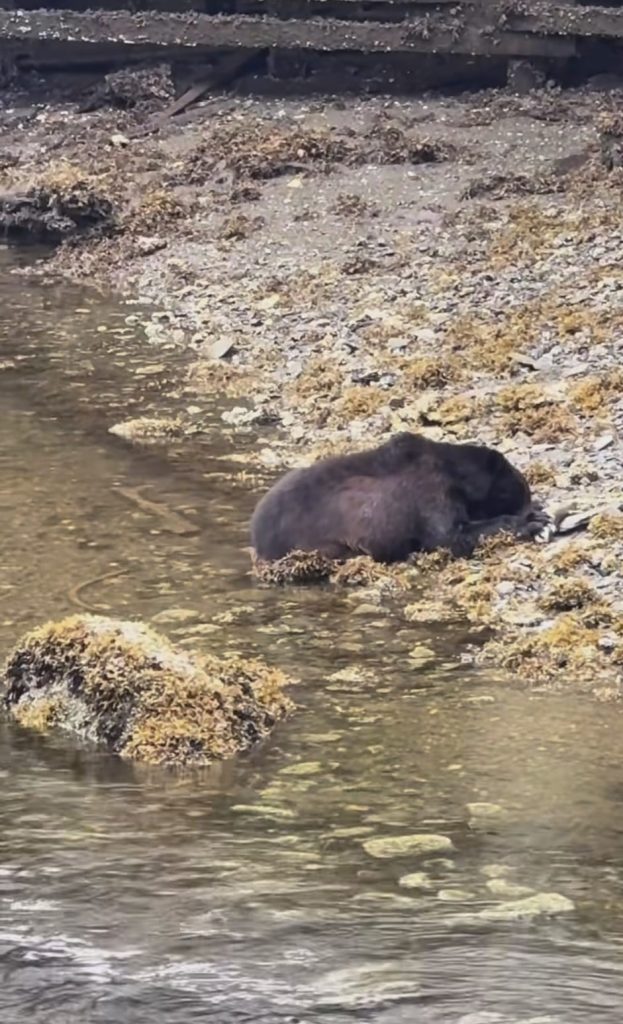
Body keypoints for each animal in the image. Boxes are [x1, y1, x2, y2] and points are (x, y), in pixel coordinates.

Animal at [250, 431, 547, 564]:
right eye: (520, 490)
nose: (531, 503)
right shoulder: (429, 490)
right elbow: (448, 535)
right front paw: (533, 522)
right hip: (314, 539)